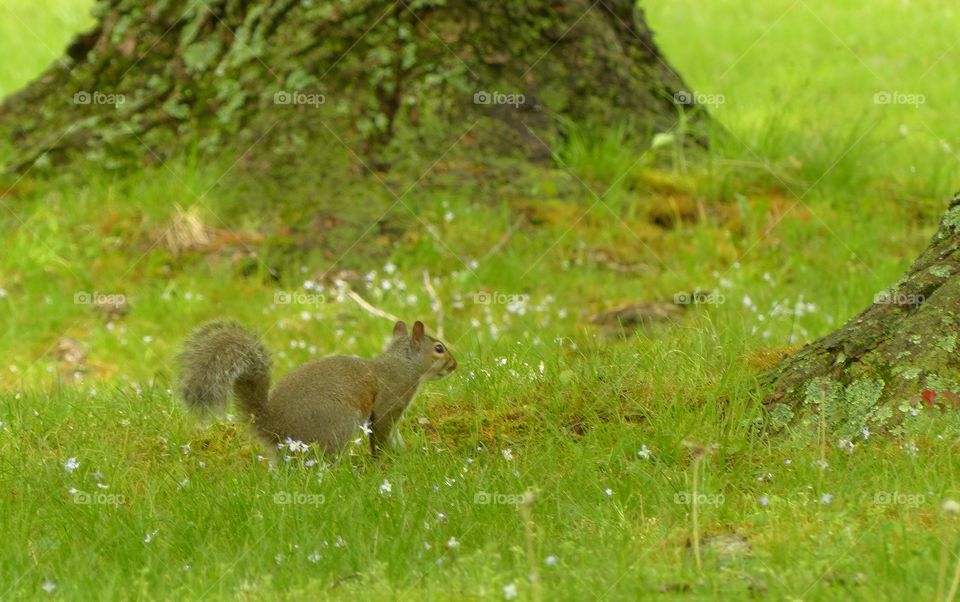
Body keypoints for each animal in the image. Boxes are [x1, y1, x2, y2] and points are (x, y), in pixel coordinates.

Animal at [179, 318, 458, 454]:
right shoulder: (389, 403)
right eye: (439, 348)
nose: (455, 365)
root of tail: (273, 425)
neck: (404, 364)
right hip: (338, 423)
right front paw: (386, 461)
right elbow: (380, 434)